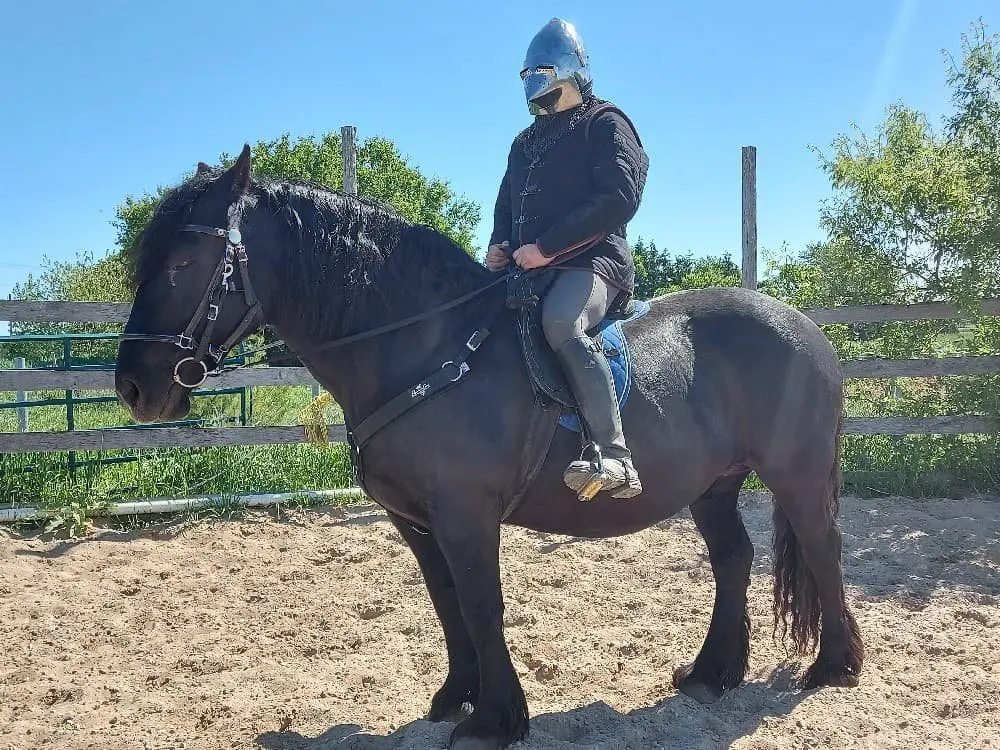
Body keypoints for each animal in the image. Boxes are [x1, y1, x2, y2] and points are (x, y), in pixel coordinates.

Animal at [114, 146, 863, 750]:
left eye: (184, 261)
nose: (133, 386)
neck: (426, 347)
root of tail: (806, 328)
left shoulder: (465, 513)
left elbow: (481, 604)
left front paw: (496, 719)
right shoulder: (416, 521)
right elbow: (447, 604)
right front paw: (456, 697)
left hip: (795, 474)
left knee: (822, 549)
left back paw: (834, 665)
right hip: (713, 485)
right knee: (733, 559)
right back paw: (712, 672)